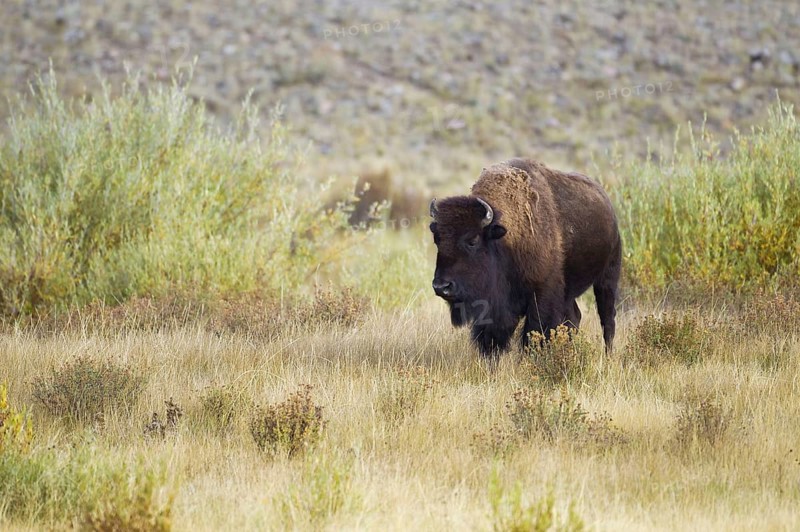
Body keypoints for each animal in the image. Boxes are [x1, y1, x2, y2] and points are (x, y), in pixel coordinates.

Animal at [429, 158, 621, 358]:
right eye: (437, 239)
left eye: (472, 241)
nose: (441, 287)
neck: (505, 238)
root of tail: (607, 204)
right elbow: (491, 339)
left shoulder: (541, 295)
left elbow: (533, 334)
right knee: (575, 317)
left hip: (608, 277)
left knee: (607, 319)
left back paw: (608, 355)